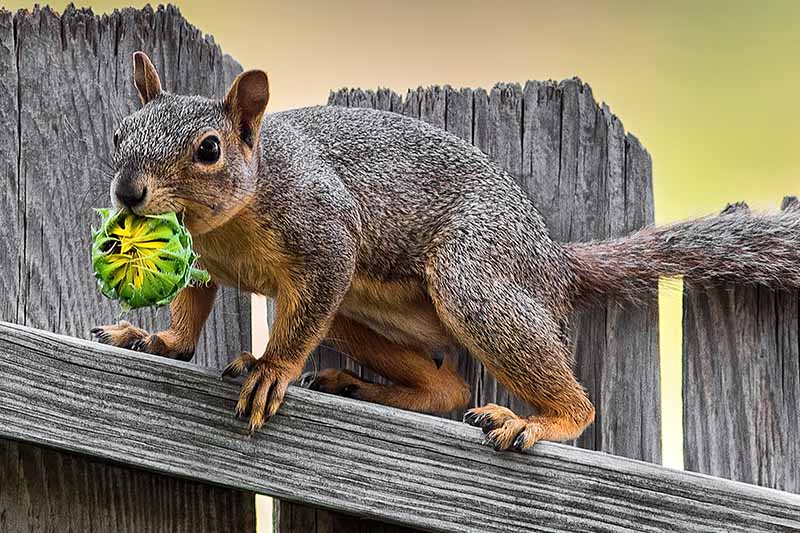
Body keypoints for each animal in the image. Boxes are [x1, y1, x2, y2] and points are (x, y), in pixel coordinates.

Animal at [90, 50, 800, 450]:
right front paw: (158, 339)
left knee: (562, 397)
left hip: (471, 280)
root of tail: (551, 262)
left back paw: (544, 421)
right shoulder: (203, 261)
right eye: (120, 133)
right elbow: (191, 308)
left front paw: (271, 369)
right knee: (451, 387)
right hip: (359, 317)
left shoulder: (324, 234)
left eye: (209, 149)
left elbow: (305, 306)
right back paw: (365, 387)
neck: (231, 221)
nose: (127, 191)